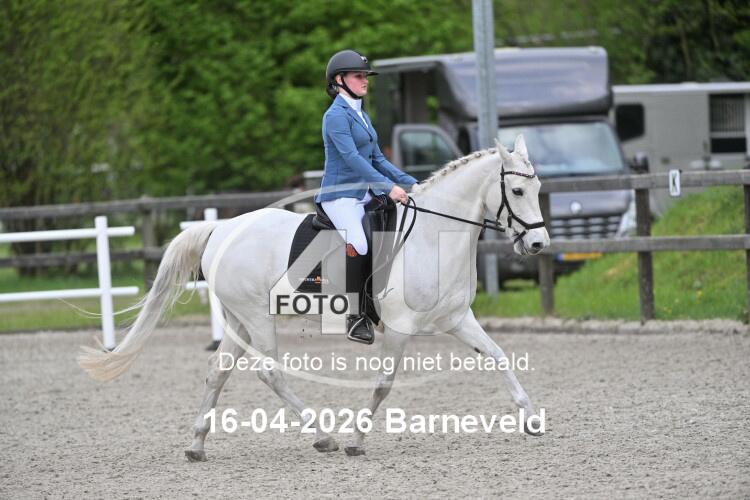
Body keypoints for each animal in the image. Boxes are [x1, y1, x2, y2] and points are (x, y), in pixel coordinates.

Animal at [78, 135, 550, 460]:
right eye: (518, 192)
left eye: (539, 188)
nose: (539, 244)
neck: (434, 235)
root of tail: (222, 228)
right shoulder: (400, 327)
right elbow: (383, 385)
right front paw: (356, 440)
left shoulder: (456, 318)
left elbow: (498, 356)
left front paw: (530, 419)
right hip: (256, 315)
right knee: (269, 373)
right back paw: (323, 435)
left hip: (237, 320)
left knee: (218, 372)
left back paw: (197, 445)